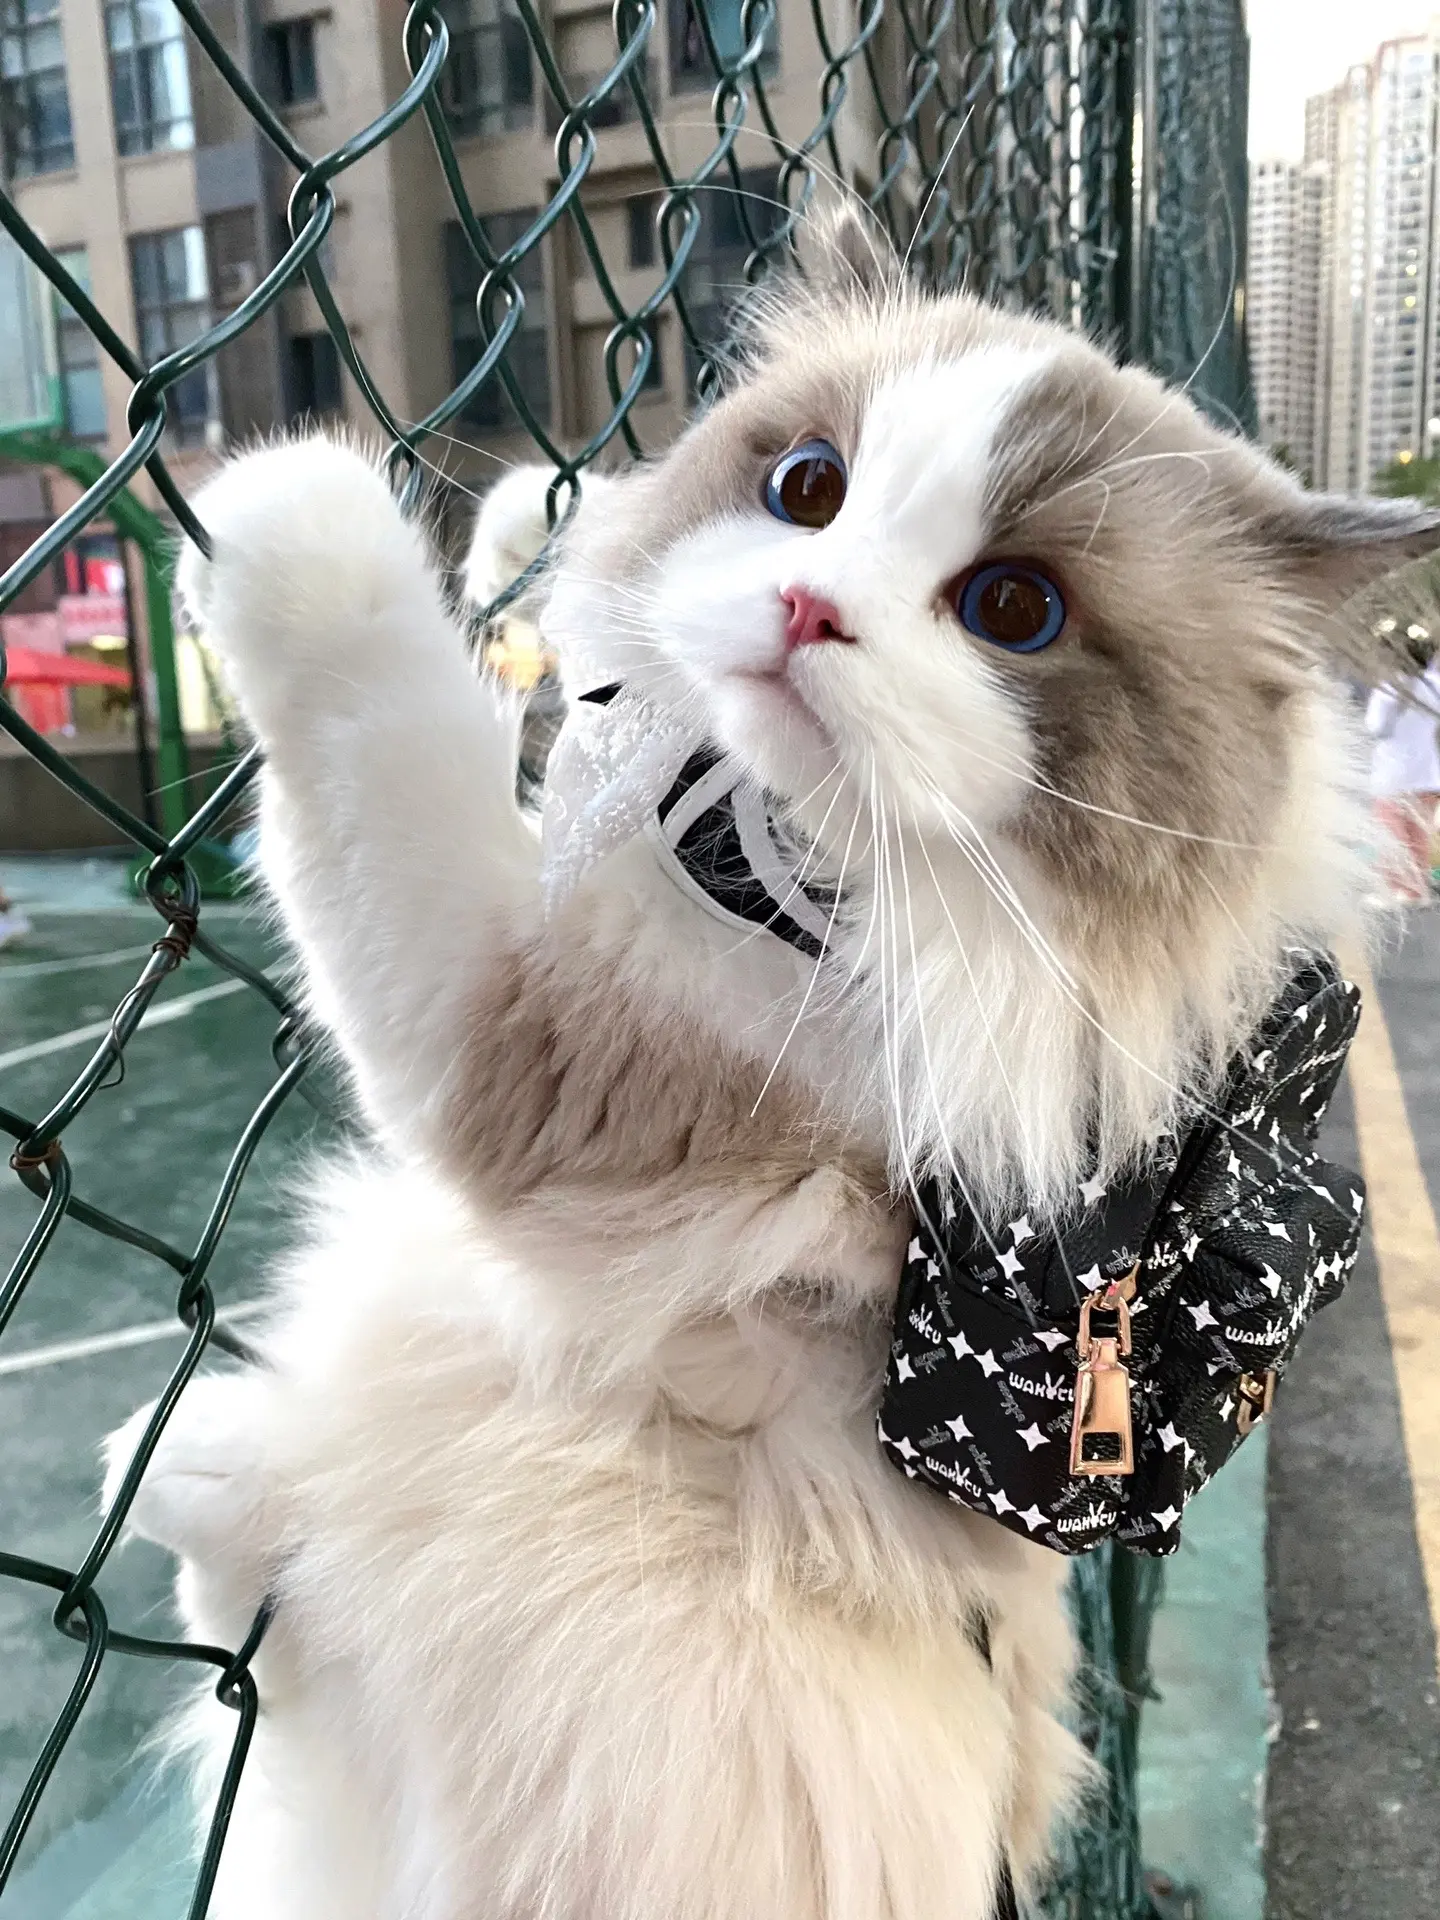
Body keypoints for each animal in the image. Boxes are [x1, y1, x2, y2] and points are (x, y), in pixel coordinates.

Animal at [104, 208, 1438, 1920]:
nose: (806, 606)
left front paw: (294, 506)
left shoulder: (526, 1039)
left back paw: (193, 1458)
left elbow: (379, 726)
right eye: (805, 487)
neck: (786, 878)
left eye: (1015, 611)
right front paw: (552, 513)